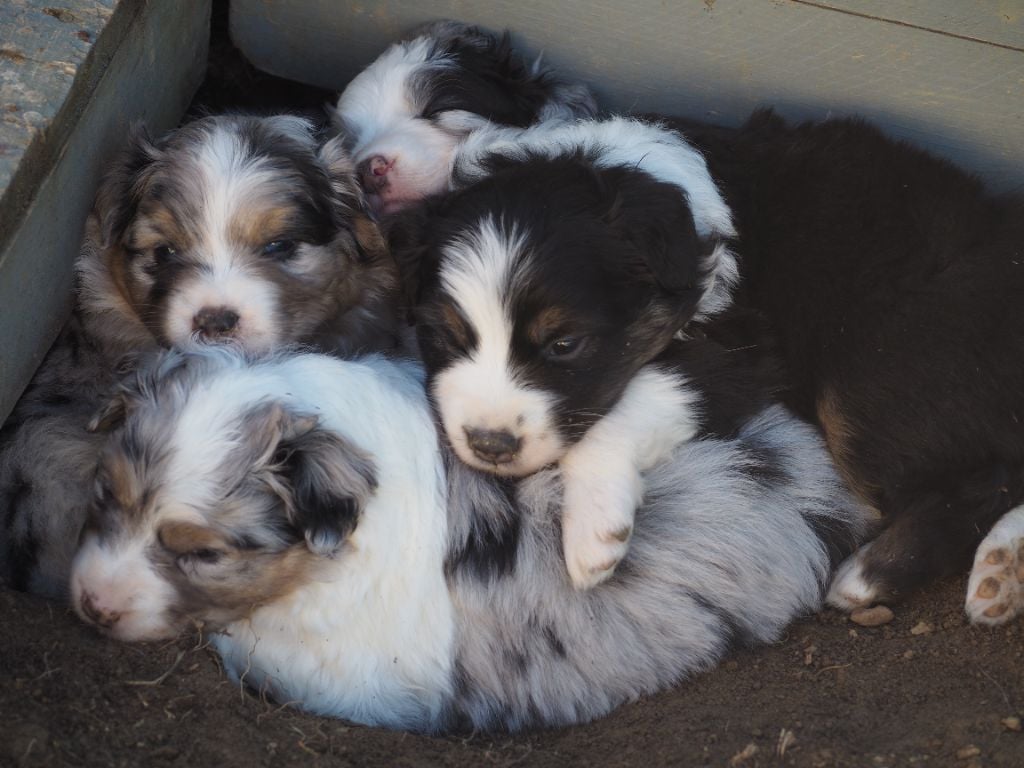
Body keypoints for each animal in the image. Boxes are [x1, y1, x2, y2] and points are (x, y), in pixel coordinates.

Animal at [391, 118, 745, 589]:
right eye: (447, 335)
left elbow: (634, 404)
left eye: (564, 345)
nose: (490, 445)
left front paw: (594, 529)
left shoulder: (733, 352)